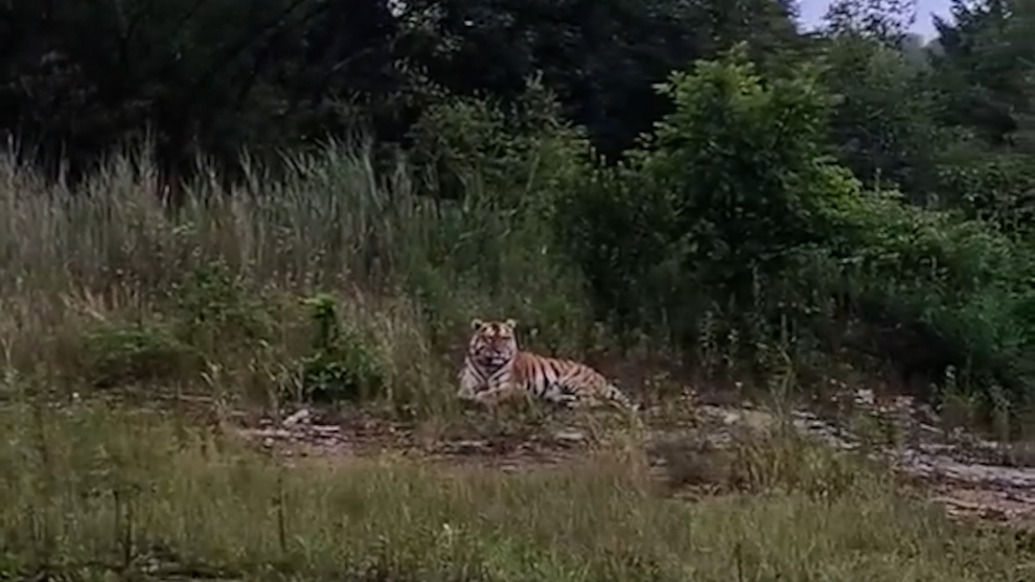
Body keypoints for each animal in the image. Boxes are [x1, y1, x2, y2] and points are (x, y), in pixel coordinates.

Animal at [457, 318, 639, 412]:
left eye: (505, 338)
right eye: (489, 338)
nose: (499, 351)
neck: (488, 365)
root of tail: (599, 376)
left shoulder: (510, 385)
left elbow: (491, 393)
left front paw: (479, 398)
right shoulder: (469, 381)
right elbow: (463, 392)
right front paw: (466, 397)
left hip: (574, 380)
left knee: (595, 401)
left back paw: (572, 404)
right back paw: (560, 401)